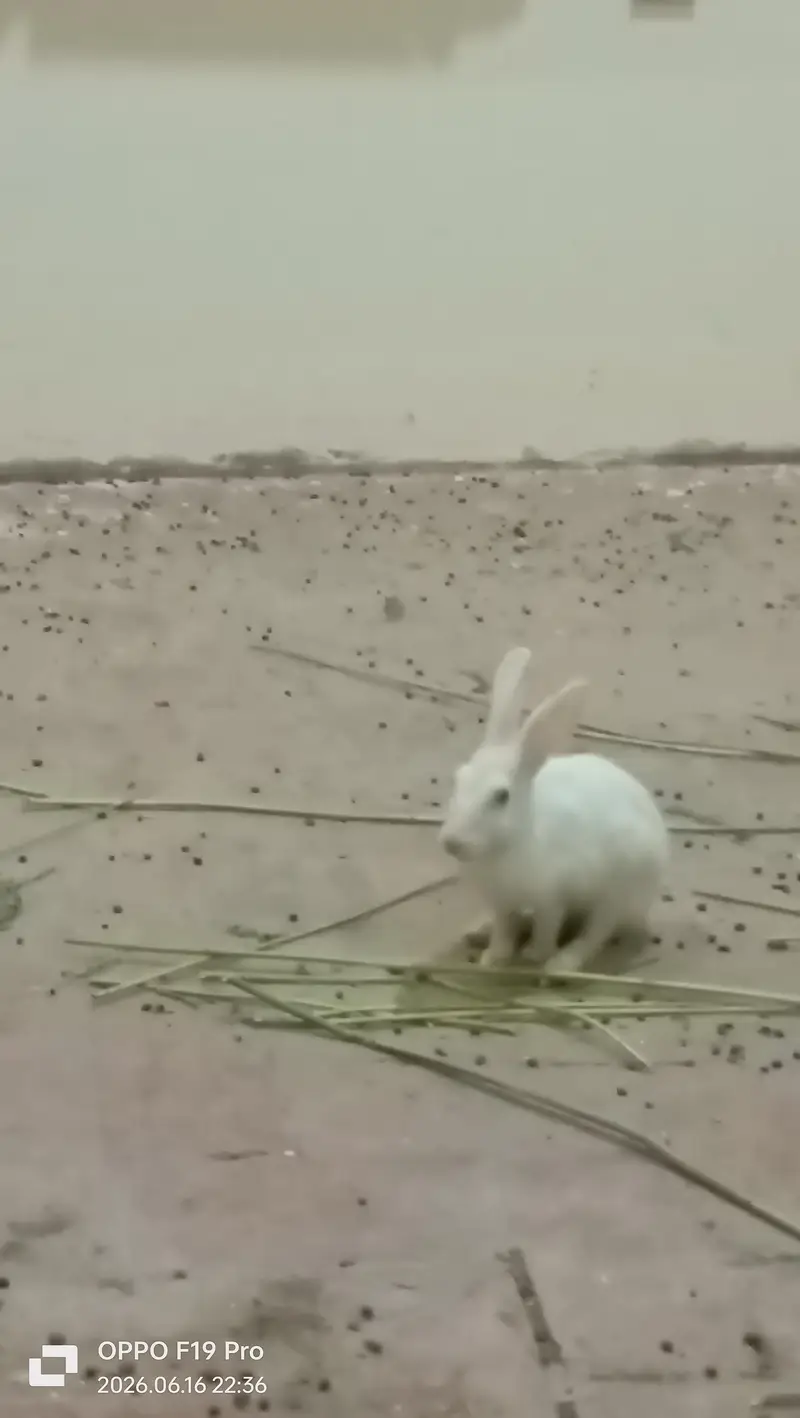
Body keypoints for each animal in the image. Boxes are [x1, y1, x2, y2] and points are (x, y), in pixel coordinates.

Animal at [438, 647, 669, 973]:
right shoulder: (500, 903)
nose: (452, 842)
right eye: (459, 777)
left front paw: (534, 955)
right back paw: (476, 931)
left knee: (597, 932)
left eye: (501, 796)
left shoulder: (551, 900)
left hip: (618, 889)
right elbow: (504, 929)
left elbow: (547, 927)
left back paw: (561, 963)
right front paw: (494, 957)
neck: (509, 844)